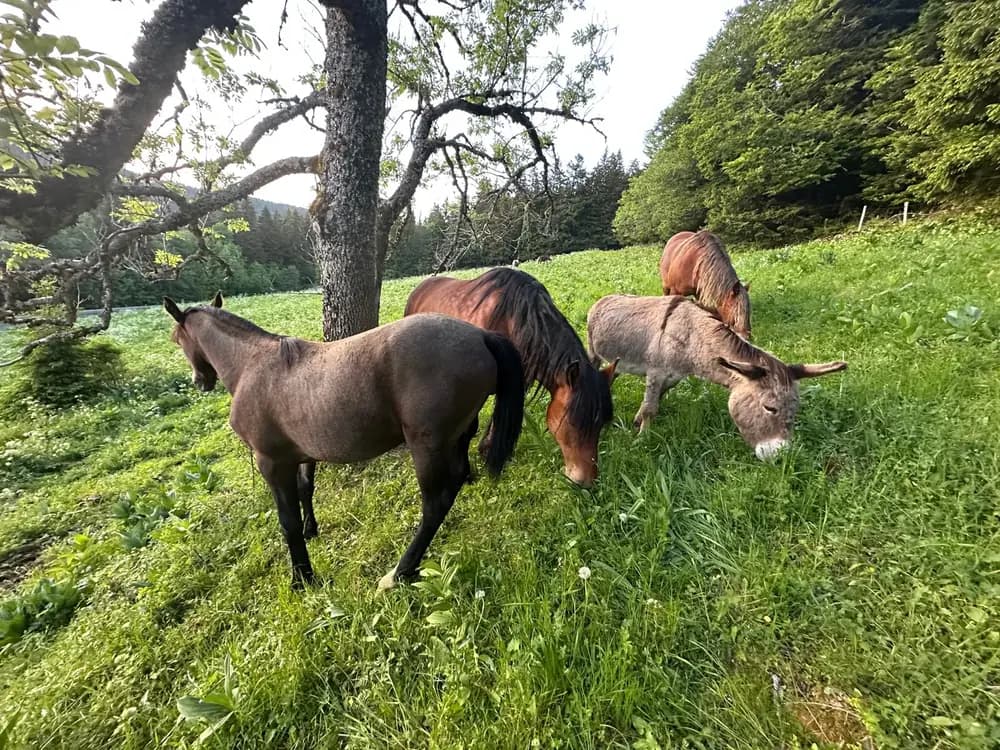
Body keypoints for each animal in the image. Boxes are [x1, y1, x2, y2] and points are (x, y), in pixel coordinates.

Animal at [163, 293, 525, 590]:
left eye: (177, 340)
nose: (200, 382)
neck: (254, 366)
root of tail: (480, 335)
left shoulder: (272, 463)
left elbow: (287, 522)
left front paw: (302, 578)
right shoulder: (301, 454)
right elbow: (305, 490)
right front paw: (311, 530)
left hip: (427, 447)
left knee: (436, 504)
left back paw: (400, 572)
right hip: (457, 436)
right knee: (458, 477)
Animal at [587, 294, 846, 460]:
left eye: (796, 409)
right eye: (770, 408)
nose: (781, 457)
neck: (690, 335)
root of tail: (603, 298)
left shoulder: (673, 376)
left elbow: (655, 400)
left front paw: (637, 421)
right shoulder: (656, 371)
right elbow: (651, 407)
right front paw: (642, 439)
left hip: (618, 360)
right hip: (593, 351)